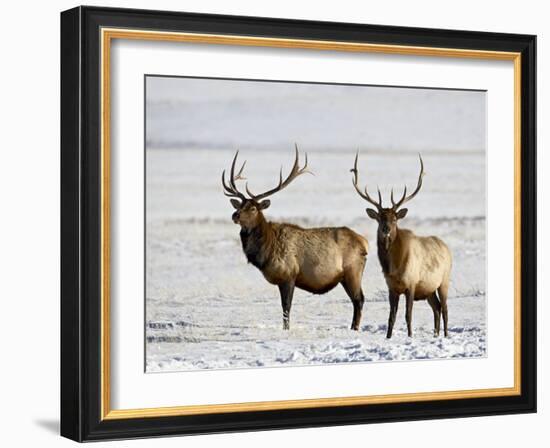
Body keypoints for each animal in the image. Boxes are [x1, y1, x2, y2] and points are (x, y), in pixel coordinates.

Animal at [223, 145, 370, 330]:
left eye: (253, 208)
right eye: (240, 205)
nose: (235, 215)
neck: (266, 252)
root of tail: (364, 242)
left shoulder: (289, 275)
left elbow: (286, 307)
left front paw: (286, 329)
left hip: (353, 270)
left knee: (359, 300)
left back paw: (354, 328)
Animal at [352, 153, 454, 336]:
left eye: (394, 219)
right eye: (379, 218)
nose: (386, 229)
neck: (394, 267)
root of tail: (446, 247)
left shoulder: (411, 284)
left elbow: (408, 315)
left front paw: (410, 336)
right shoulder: (391, 287)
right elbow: (391, 317)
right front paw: (388, 337)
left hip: (444, 280)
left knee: (445, 309)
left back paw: (445, 335)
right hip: (428, 288)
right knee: (436, 308)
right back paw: (435, 335)